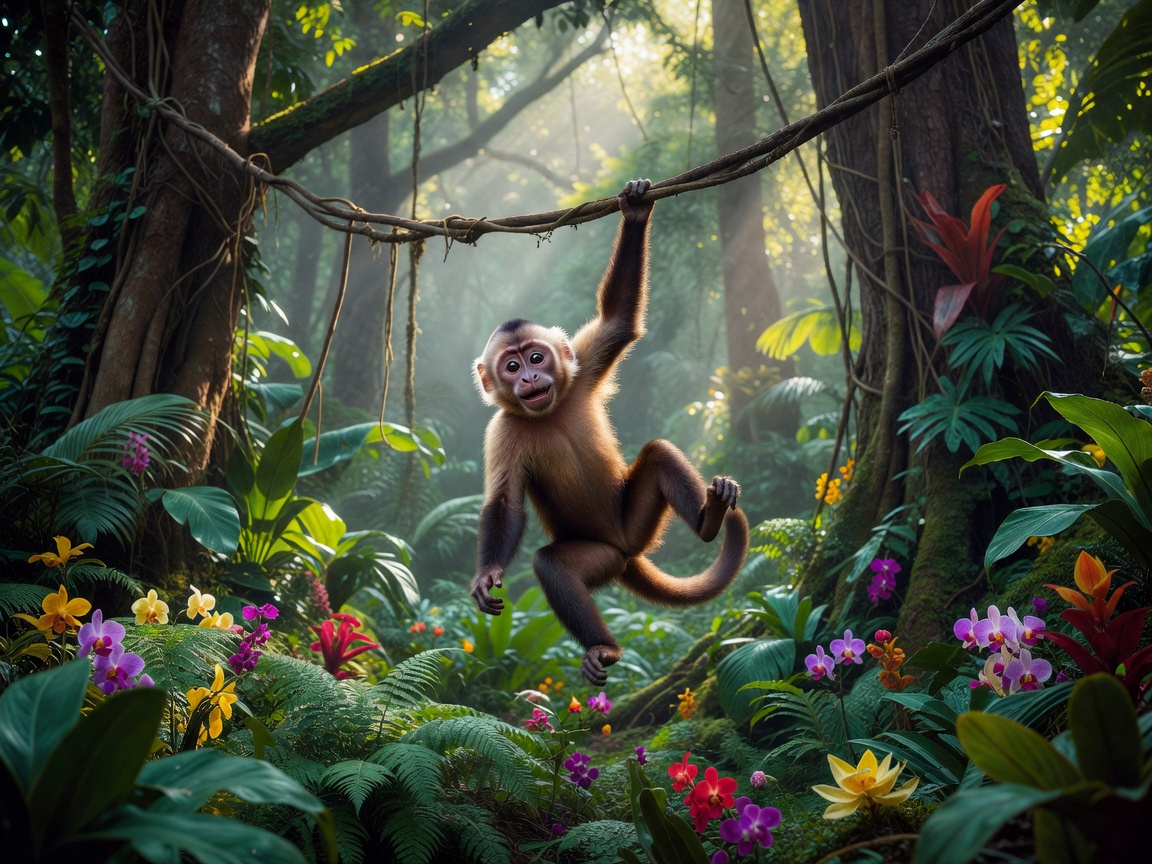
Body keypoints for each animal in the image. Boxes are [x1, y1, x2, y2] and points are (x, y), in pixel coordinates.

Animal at [470, 179, 749, 686]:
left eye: (537, 358)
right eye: (511, 367)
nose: (530, 379)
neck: (549, 411)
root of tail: (627, 549)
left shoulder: (577, 373)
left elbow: (619, 321)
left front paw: (635, 211)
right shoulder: (501, 429)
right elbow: (504, 504)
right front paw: (488, 571)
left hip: (636, 522)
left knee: (657, 455)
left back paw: (708, 518)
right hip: (604, 553)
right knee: (554, 564)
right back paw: (602, 646)